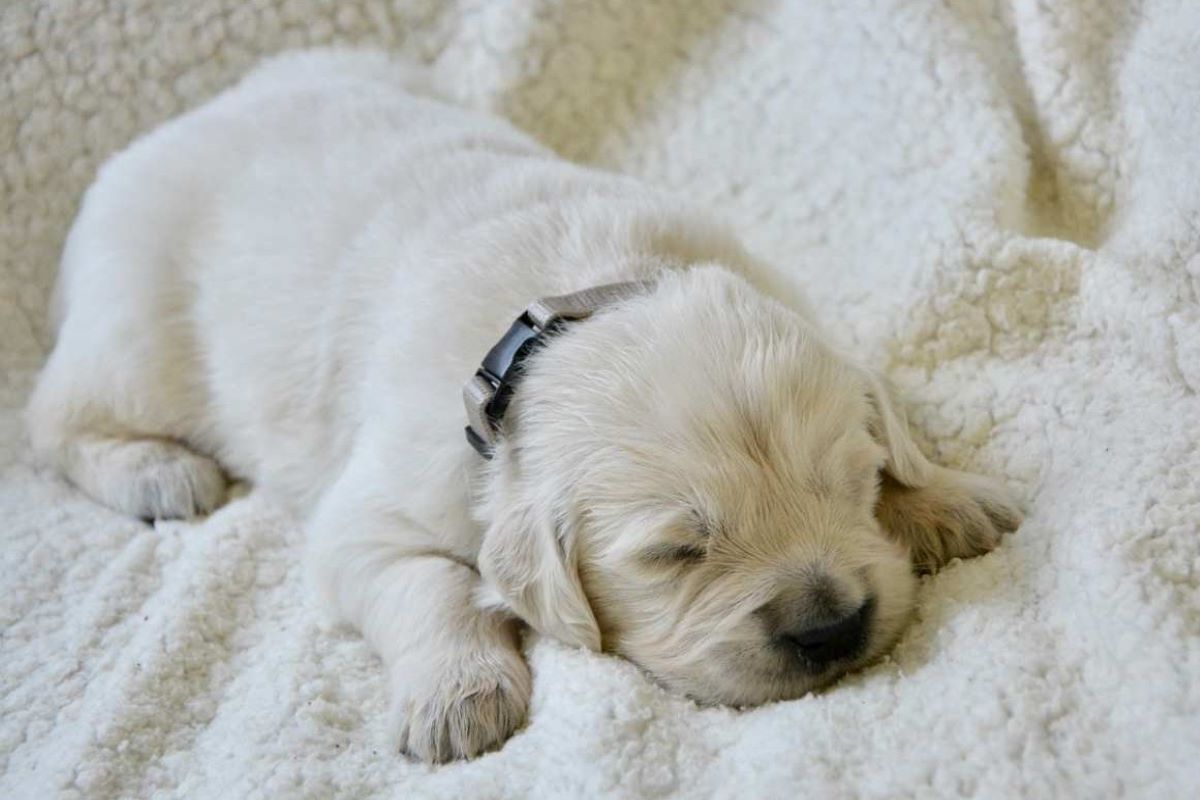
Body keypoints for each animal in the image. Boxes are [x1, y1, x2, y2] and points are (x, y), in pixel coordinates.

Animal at [28, 48, 1017, 762]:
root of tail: (183, 121)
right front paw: (457, 695)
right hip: (137, 333)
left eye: (851, 484)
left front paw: (945, 496)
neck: (573, 304)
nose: (834, 628)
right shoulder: (375, 516)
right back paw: (157, 471)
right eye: (674, 553)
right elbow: (432, 584)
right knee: (54, 417)